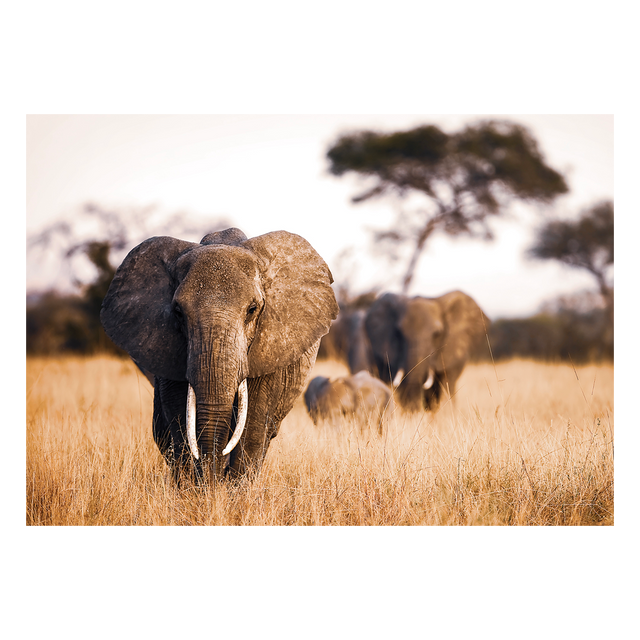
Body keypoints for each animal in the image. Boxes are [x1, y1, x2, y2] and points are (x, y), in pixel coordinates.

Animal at [100, 227, 339, 483]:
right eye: (178, 312)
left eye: (252, 310)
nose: (213, 482)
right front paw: (194, 489)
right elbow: (179, 416)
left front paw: (234, 491)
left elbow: (253, 423)